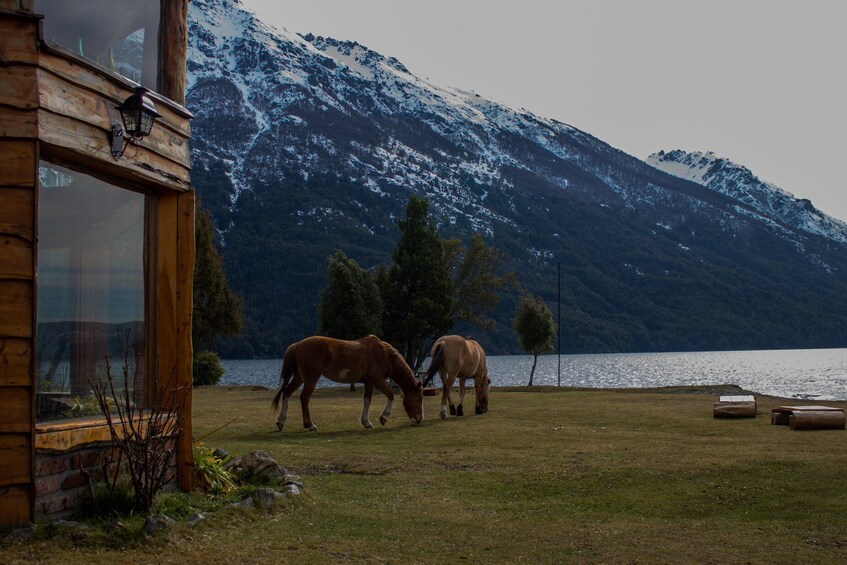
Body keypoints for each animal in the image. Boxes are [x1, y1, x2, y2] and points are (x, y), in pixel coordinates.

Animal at [272, 334, 424, 432]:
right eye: (420, 398)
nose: (419, 419)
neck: (384, 354)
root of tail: (298, 344)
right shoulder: (377, 380)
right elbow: (391, 395)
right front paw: (383, 417)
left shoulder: (369, 383)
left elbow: (367, 401)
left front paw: (366, 422)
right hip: (311, 378)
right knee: (304, 398)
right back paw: (310, 425)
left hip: (299, 377)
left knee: (287, 393)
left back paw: (281, 421)